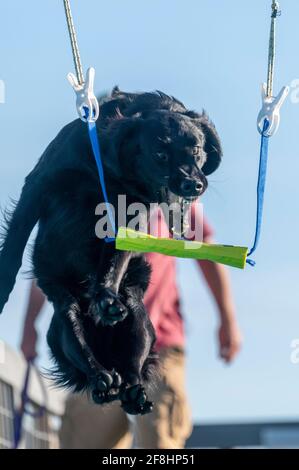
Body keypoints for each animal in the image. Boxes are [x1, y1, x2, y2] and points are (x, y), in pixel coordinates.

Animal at [0, 88, 223, 414]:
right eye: (160, 154)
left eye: (196, 150)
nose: (193, 184)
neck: (108, 171)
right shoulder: (39, 185)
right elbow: (13, 250)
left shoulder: (129, 215)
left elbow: (114, 261)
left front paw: (105, 298)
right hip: (65, 311)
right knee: (79, 342)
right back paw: (101, 381)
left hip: (137, 312)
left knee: (132, 360)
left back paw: (132, 391)